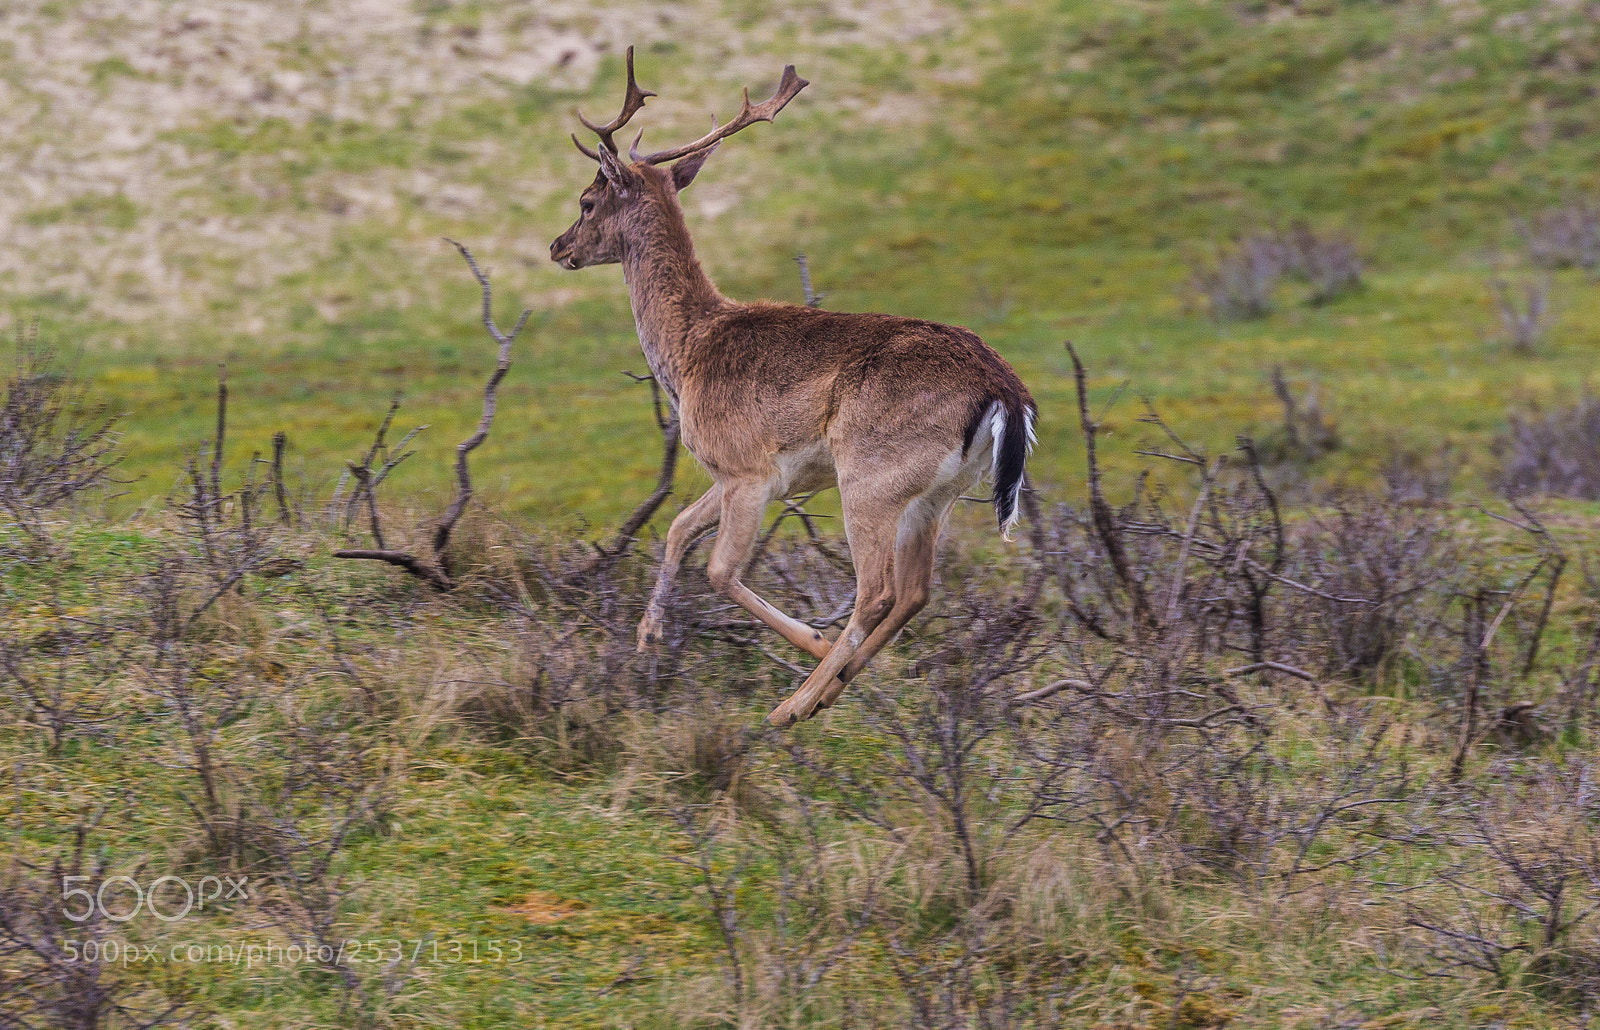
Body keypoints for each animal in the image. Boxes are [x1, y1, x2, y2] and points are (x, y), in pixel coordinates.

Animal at [549, 48, 1037, 726]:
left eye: (587, 201)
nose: (557, 246)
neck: (688, 351)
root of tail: (1006, 392)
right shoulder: (738, 474)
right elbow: (676, 529)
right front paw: (647, 643)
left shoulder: (748, 469)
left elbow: (719, 570)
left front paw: (811, 639)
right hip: (934, 494)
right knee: (916, 591)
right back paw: (835, 683)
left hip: (871, 476)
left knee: (878, 590)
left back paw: (796, 703)